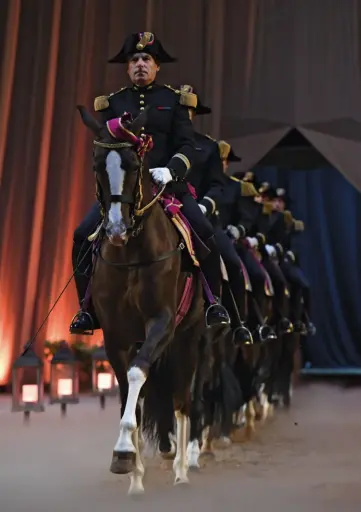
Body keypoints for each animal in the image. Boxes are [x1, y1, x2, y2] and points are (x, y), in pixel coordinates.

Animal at [76, 106, 205, 494]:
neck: (131, 254)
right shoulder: (116, 334)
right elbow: (126, 396)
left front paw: (124, 451)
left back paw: (182, 469)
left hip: (188, 337)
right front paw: (130, 467)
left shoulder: (161, 323)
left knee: (182, 400)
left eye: (134, 165)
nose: (116, 229)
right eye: (96, 166)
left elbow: (137, 375)